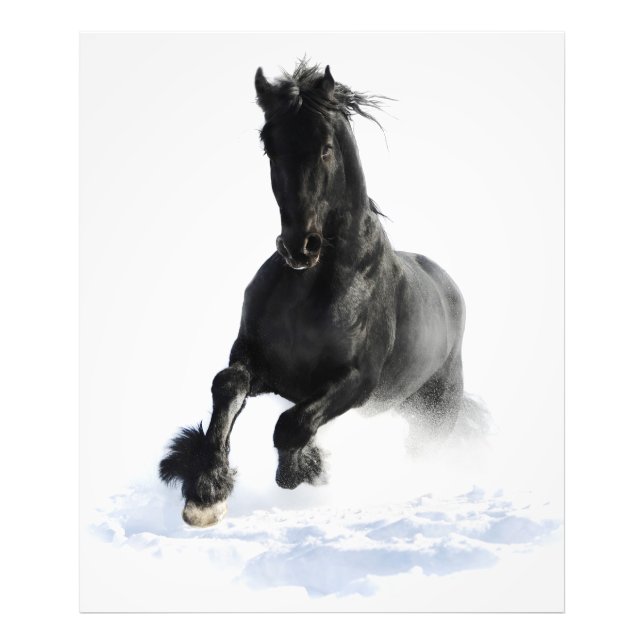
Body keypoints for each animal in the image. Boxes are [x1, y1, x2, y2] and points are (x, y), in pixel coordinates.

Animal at [159, 60, 466, 527]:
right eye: (269, 147)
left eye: (325, 148)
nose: (300, 246)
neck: (309, 291)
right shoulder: (259, 361)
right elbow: (228, 384)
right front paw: (205, 491)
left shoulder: (357, 381)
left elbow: (292, 425)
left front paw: (304, 469)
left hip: (436, 412)